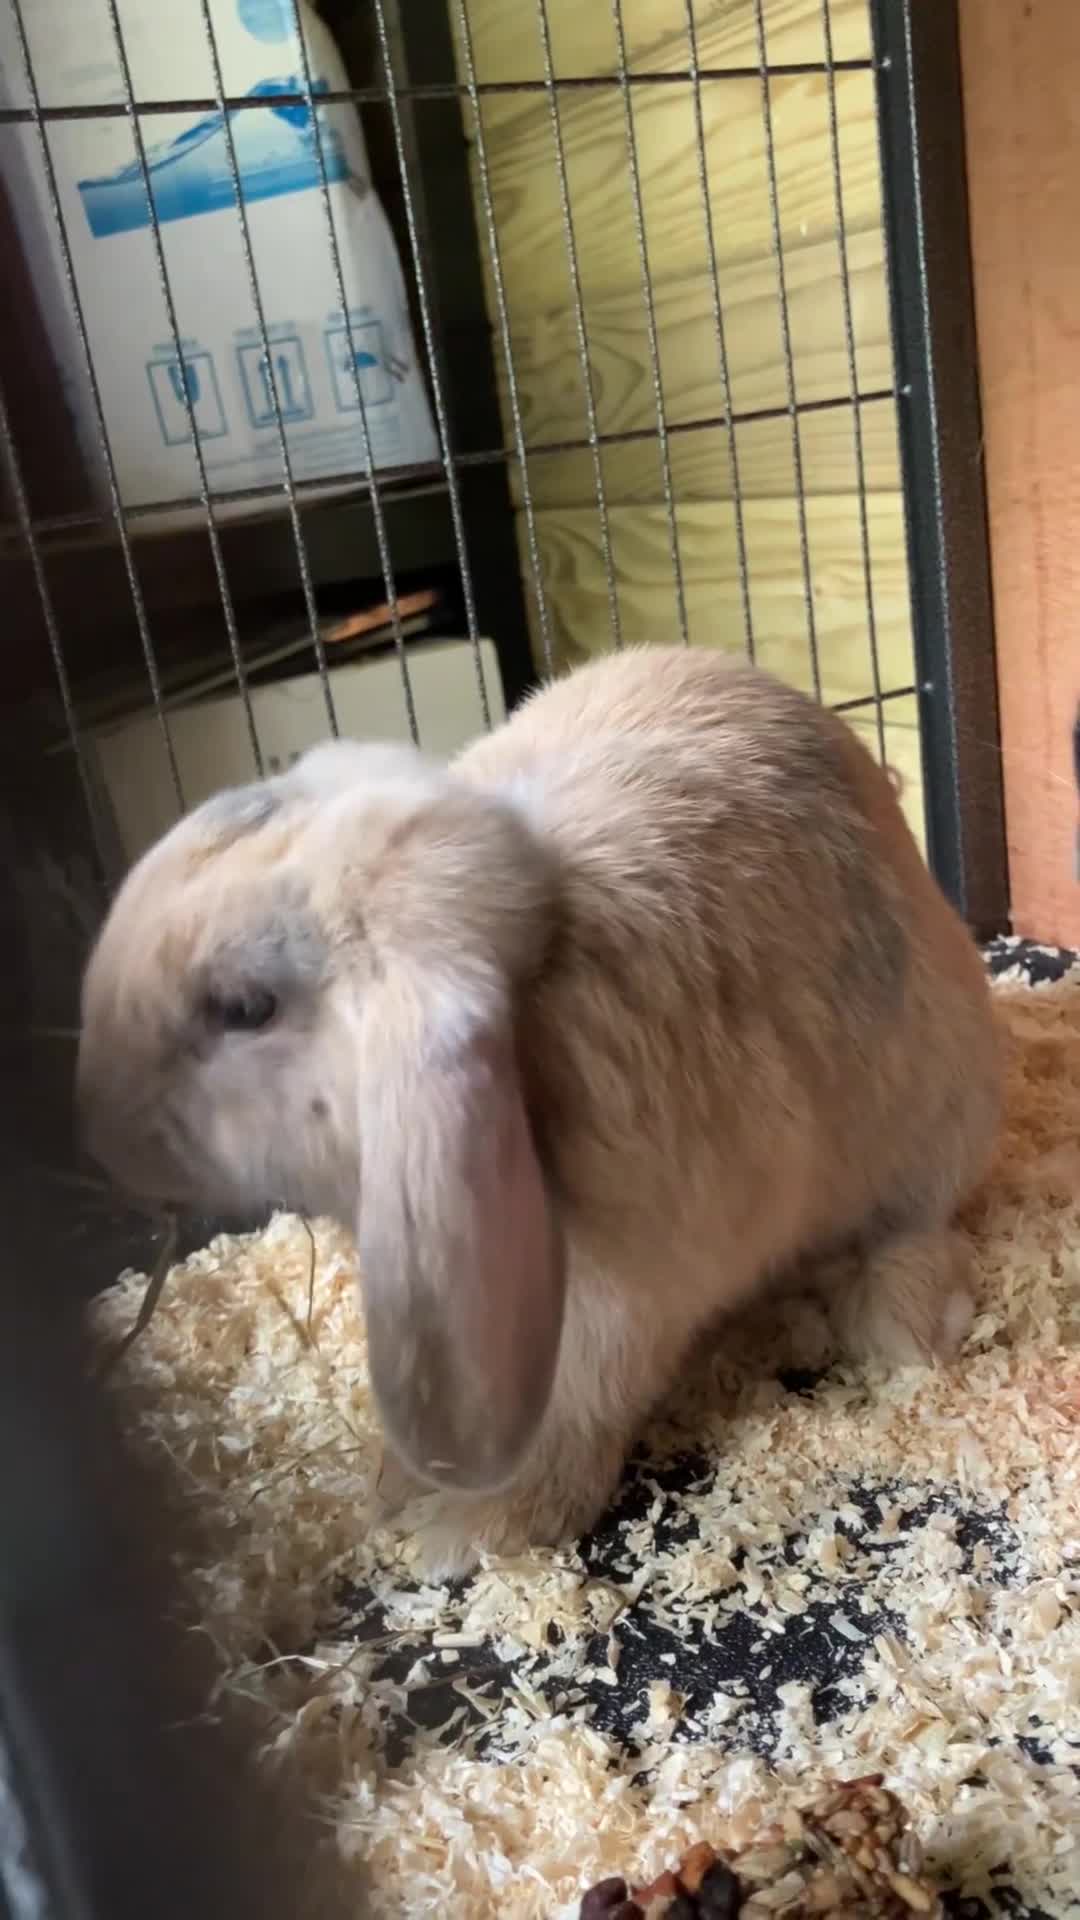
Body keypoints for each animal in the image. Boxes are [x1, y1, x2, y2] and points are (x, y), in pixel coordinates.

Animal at [77, 646, 1001, 1577]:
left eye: (244, 1008)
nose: (98, 1122)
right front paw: (396, 1484)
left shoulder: (612, 1303)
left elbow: (571, 1414)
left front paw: (466, 1532)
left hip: (933, 1123)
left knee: (910, 1237)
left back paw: (904, 1325)